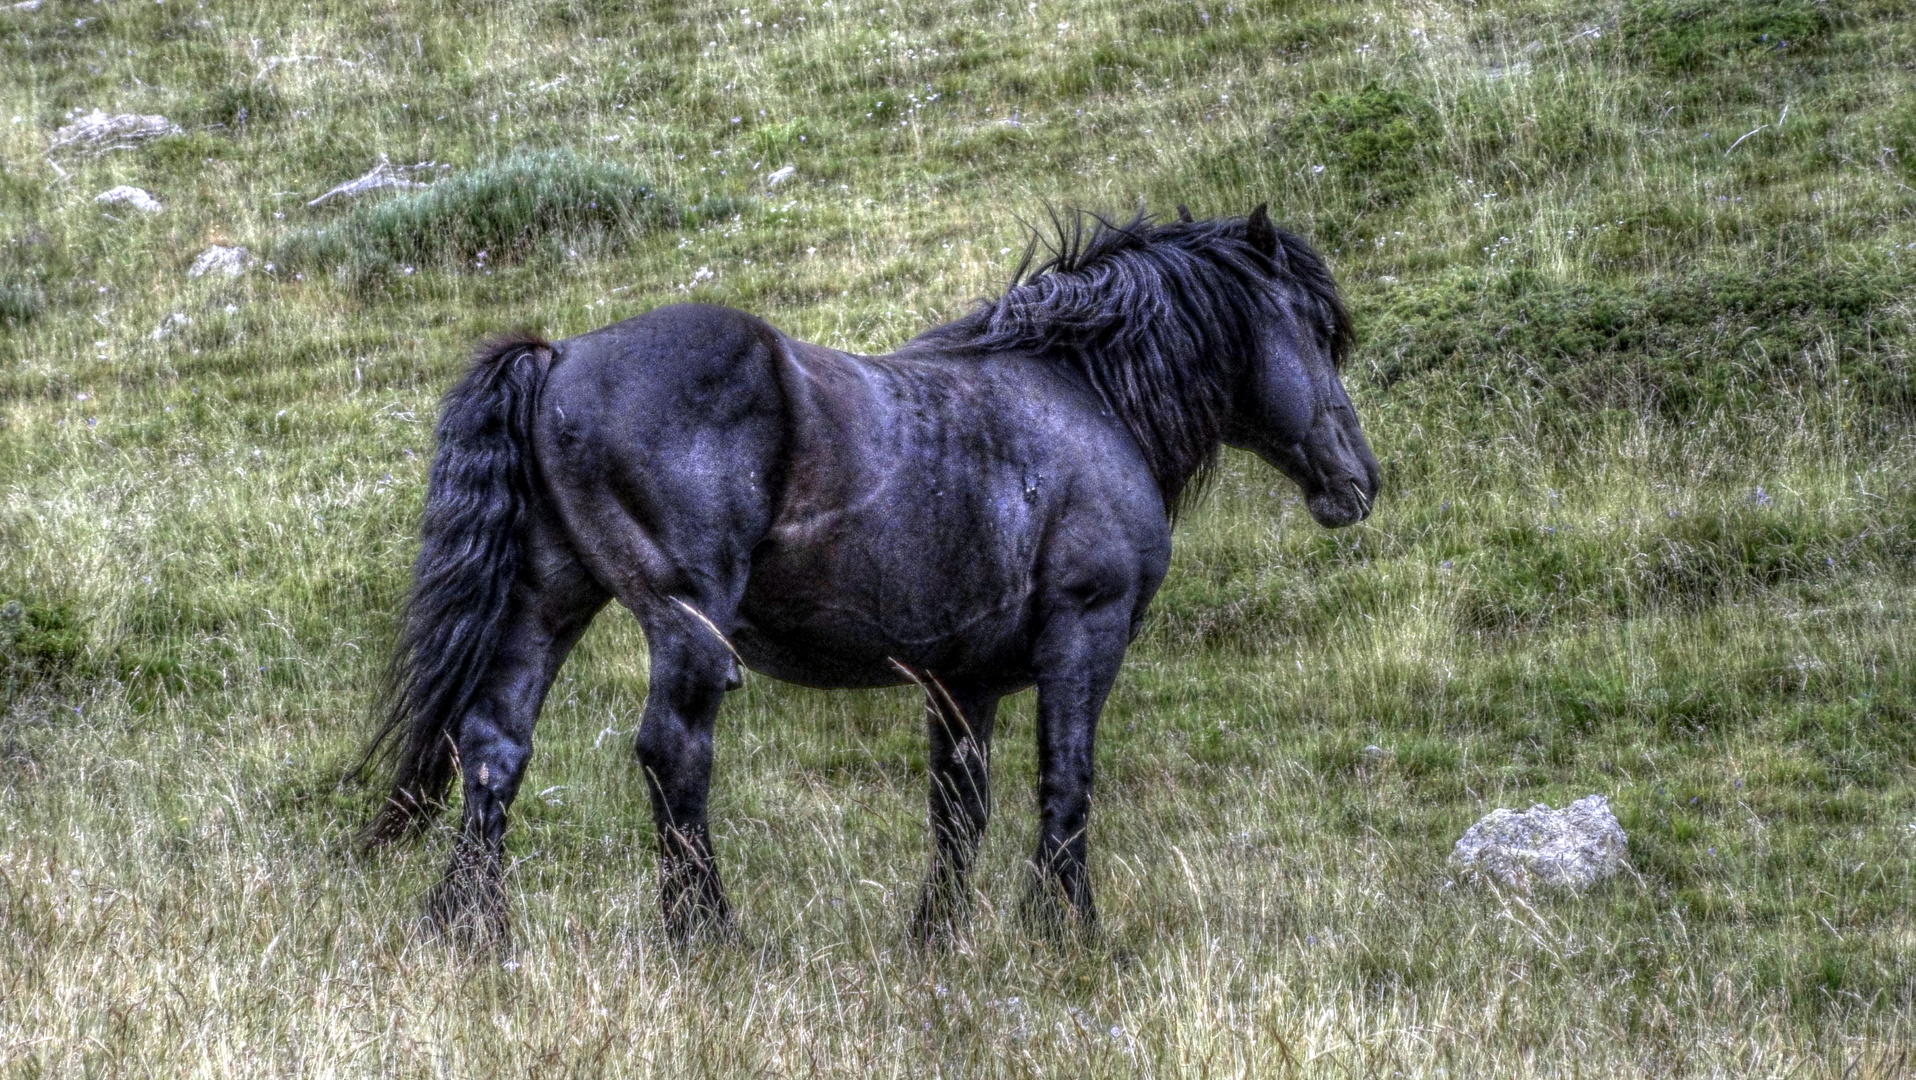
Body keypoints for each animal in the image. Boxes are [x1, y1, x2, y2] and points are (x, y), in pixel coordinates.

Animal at [362, 206, 1379, 942]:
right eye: (1314, 331)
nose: (1357, 481)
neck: (1084, 399)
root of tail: (560, 356)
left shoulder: (965, 682)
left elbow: (958, 811)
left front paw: (937, 936)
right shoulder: (1084, 638)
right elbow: (1068, 780)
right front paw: (1066, 931)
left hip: (550, 602)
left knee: (494, 746)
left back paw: (471, 928)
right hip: (684, 620)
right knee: (672, 753)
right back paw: (706, 934)